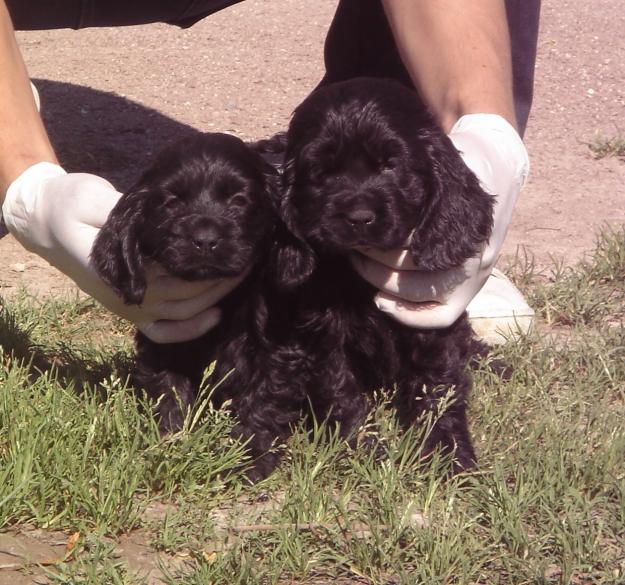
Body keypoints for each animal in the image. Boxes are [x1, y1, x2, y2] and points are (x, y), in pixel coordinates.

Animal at [90, 133, 308, 480]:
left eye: (238, 200)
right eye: (172, 202)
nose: (205, 239)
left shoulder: (278, 345)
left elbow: (265, 396)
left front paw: (249, 457)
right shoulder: (163, 339)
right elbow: (169, 391)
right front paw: (170, 441)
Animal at [278, 77, 492, 472]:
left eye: (391, 166)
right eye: (322, 173)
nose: (359, 217)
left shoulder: (431, 324)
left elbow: (438, 386)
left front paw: (450, 456)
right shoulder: (323, 330)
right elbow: (338, 387)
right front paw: (359, 449)